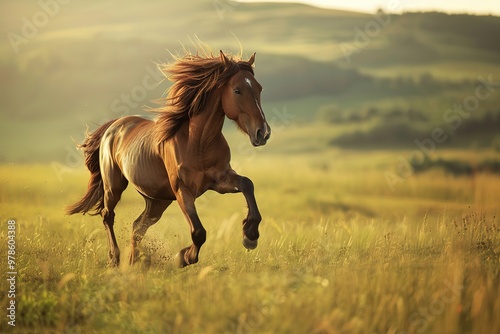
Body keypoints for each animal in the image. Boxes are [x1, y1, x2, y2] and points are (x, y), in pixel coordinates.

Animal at [66, 50, 272, 268]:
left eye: (259, 88)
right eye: (237, 90)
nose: (263, 133)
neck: (198, 142)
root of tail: (114, 126)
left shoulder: (220, 180)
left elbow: (247, 184)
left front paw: (250, 235)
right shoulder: (183, 189)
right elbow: (198, 232)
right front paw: (184, 257)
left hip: (157, 201)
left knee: (138, 227)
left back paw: (133, 263)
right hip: (114, 186)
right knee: (108, 216)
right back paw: (115, 259)